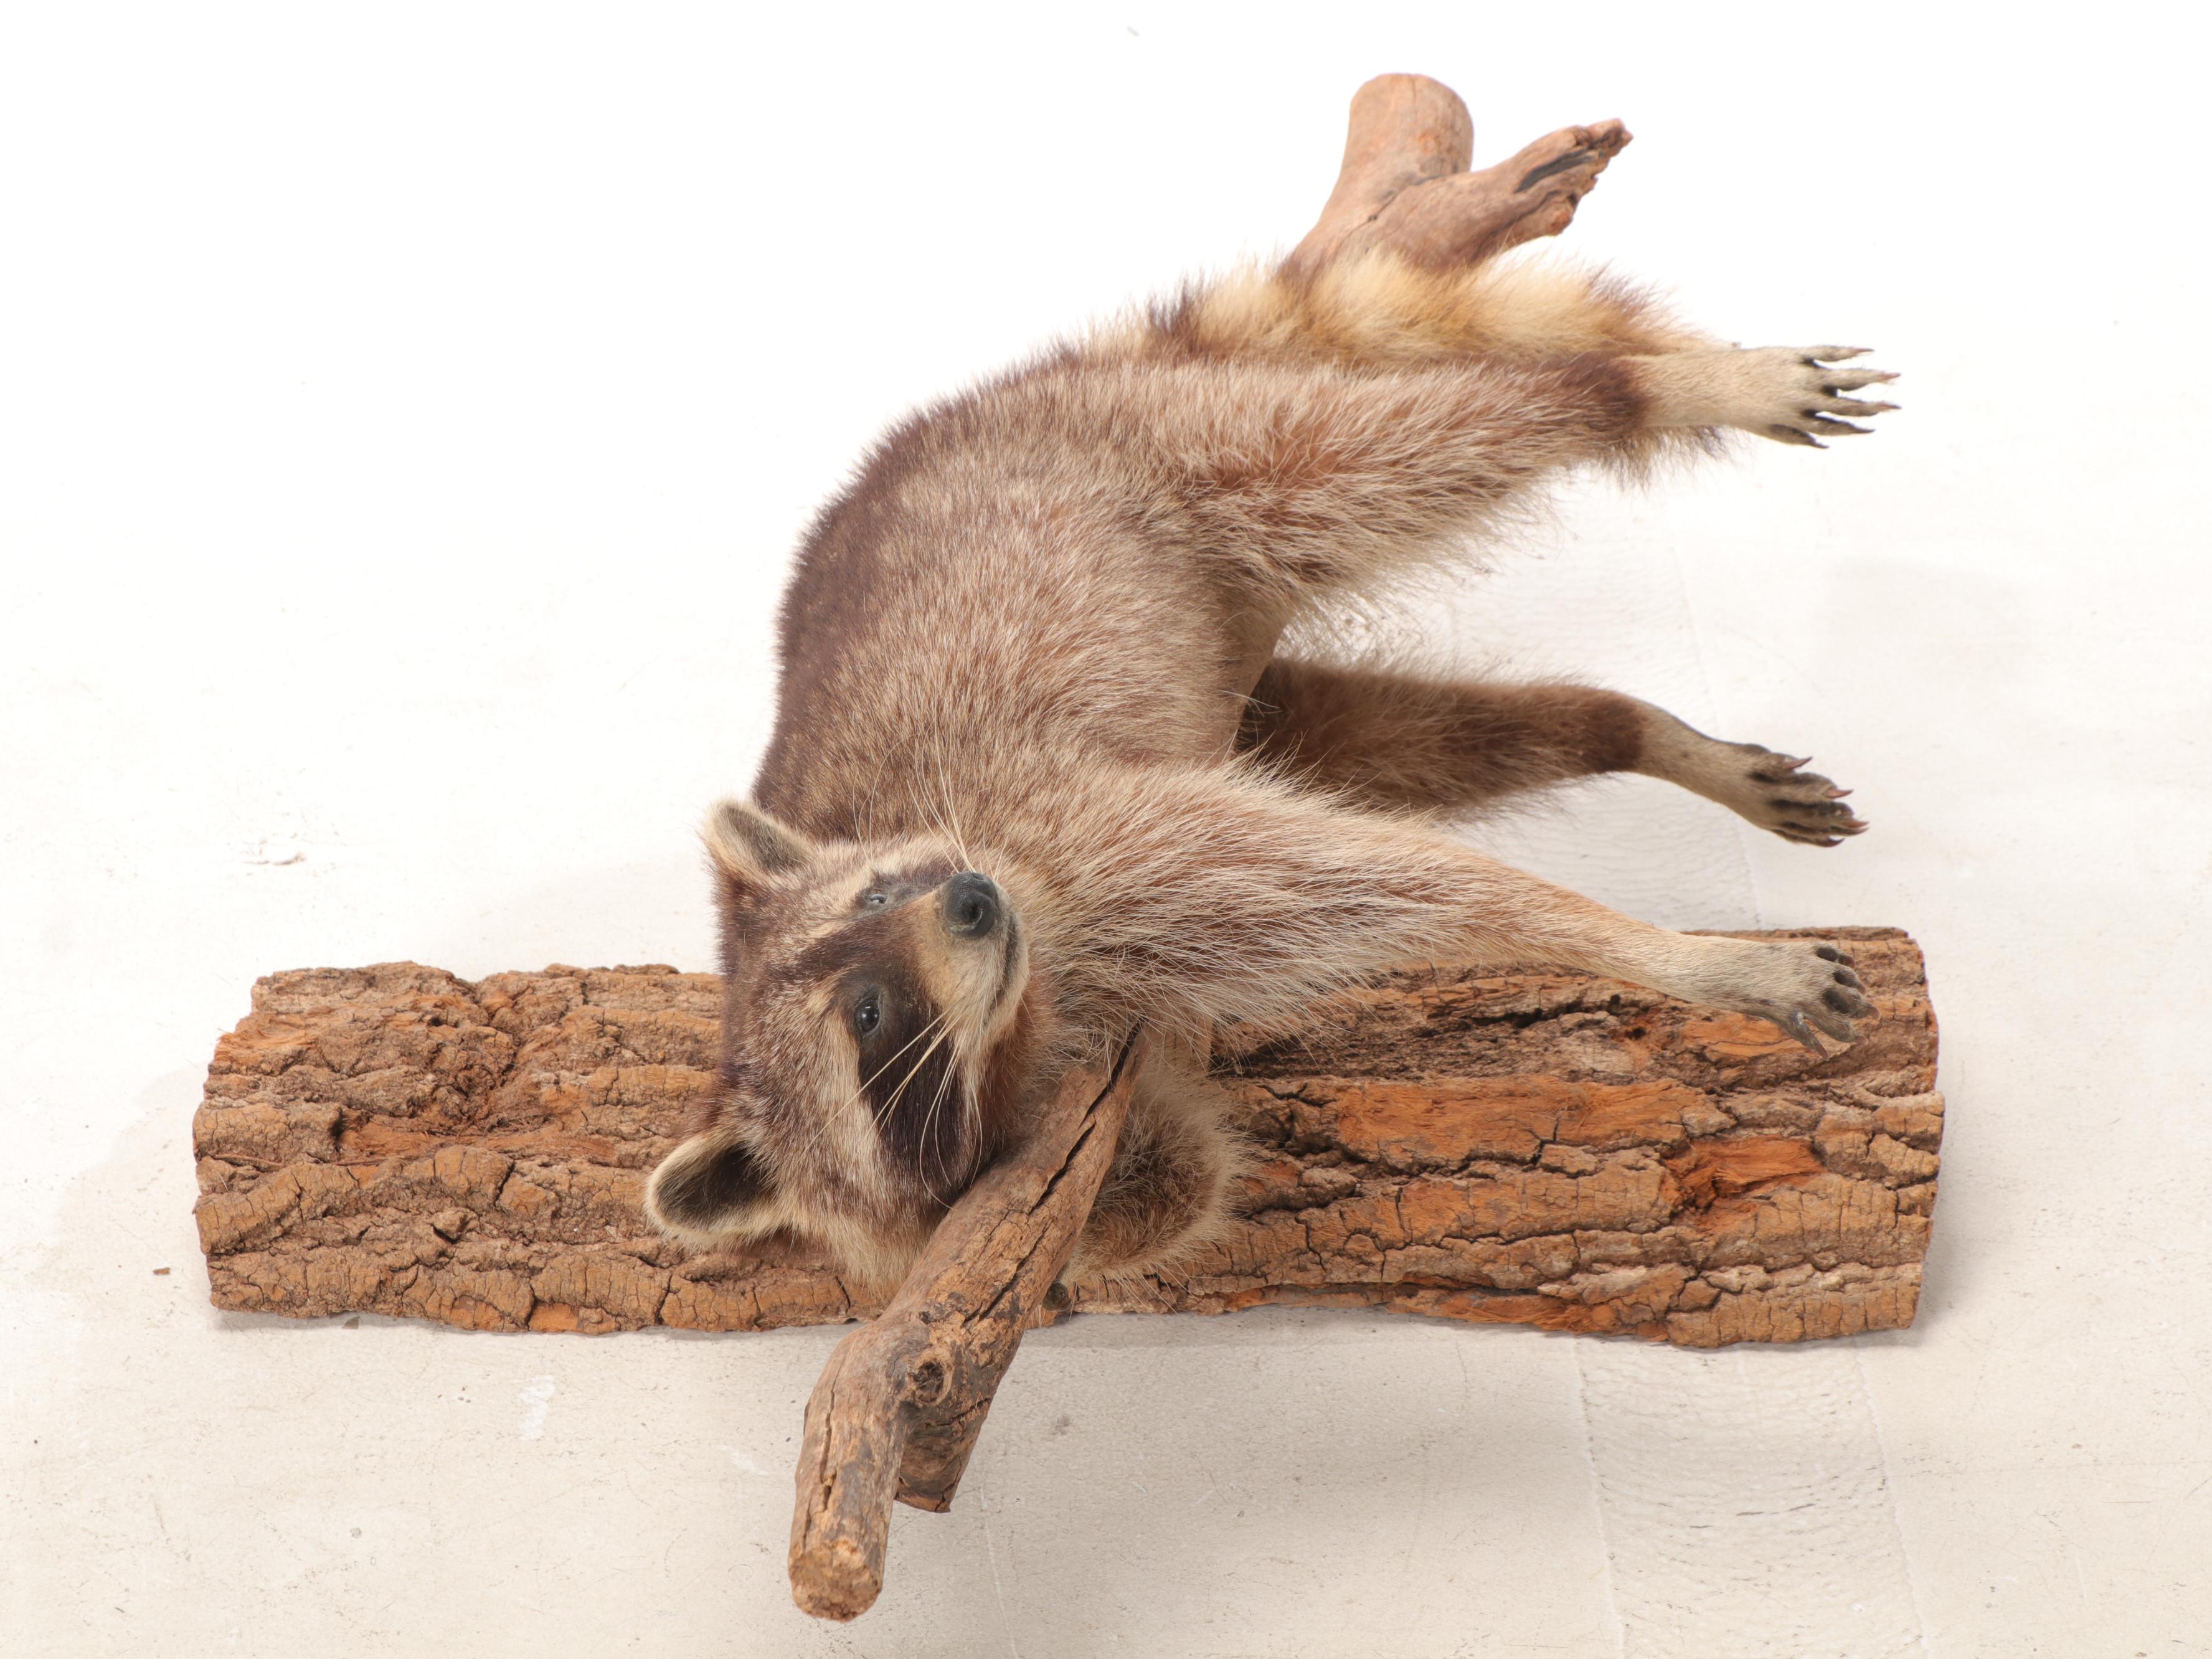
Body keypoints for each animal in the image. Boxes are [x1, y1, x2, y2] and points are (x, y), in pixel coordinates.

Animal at [642, 107, 1894, 1291]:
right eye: (866, 1015)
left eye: (878, 894)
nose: (965, 900)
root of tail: (991, 399)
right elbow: (1163, 1190)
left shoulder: (1060, 847)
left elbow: (1397, 880)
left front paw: (1674, 957)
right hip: (1231, 650)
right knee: (1422, 733)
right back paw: (1626, 727)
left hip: (1168, 451)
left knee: (1401, 446)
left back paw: (1646, 388)